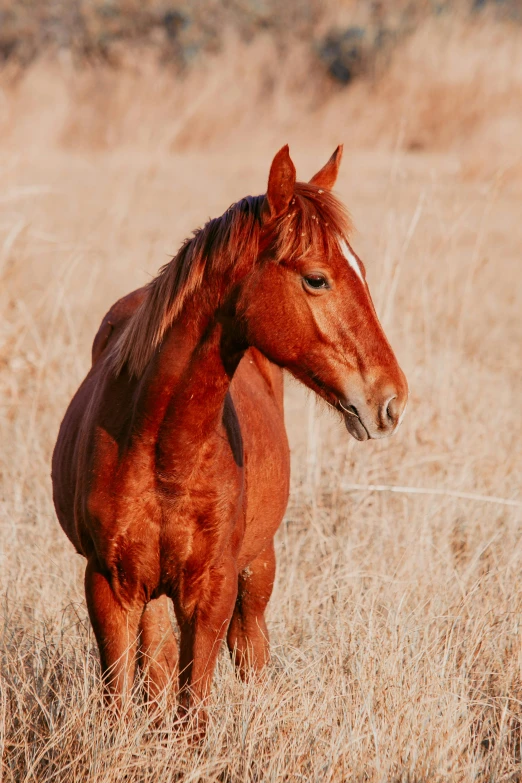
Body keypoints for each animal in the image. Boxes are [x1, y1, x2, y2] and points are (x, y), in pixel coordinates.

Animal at [50, 145, 408, 724]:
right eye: (316, 278)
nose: (391, 400)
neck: (165, 449)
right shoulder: (109, 586)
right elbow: (122, 703)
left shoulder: (212, 592)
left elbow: (194, 711)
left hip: (257, 568)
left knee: (251, 650)